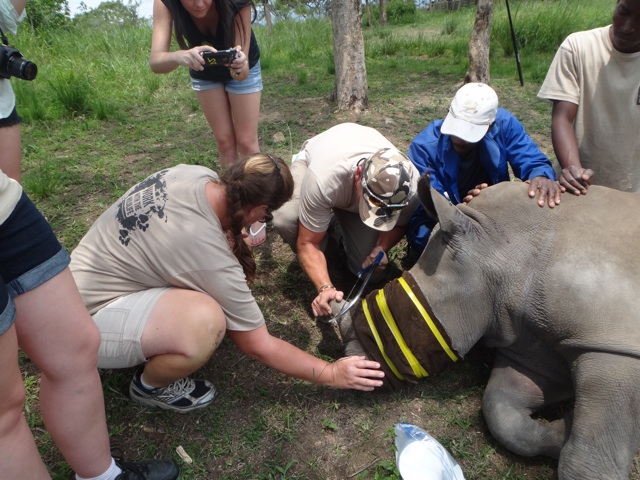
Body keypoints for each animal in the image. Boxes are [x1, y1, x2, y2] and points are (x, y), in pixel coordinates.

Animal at [334, 177, 640, 480]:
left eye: (391, 319)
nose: (349, 356)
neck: (500, 249)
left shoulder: (611, 345)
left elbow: (586, 457)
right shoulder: (529, 343)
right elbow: (500, 409)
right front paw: (564, 429)